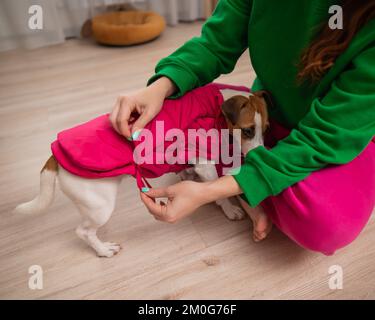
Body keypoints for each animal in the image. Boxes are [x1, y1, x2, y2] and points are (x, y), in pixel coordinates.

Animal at [14, 87, 270, 258]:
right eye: (248, 130)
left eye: (266, 129)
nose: (260, 155)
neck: (216, 115)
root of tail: (55, 157)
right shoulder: (205, 162)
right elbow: (218, 190)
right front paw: (229, 208)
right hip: (100, 206)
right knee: (83, 232)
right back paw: (103, 249)